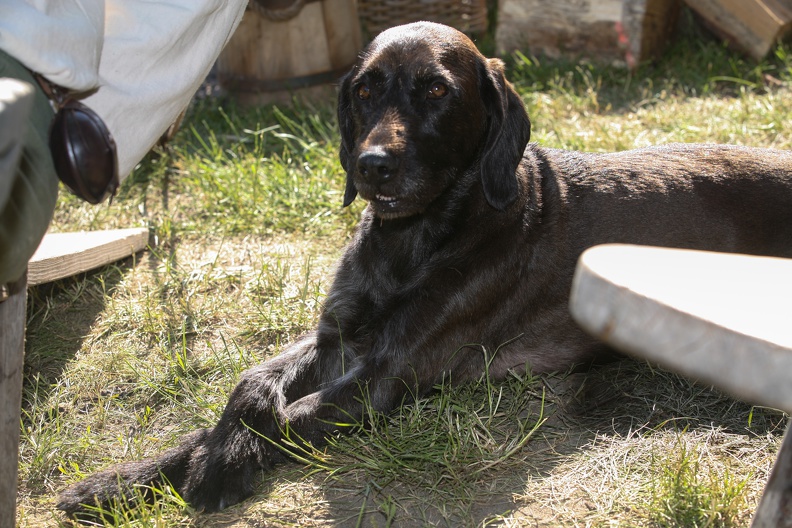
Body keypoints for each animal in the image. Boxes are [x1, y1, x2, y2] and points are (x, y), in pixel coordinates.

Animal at [58, 21, 792, 516]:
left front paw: (213, 470)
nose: (372, 166)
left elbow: (288, 420)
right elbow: (247, 390)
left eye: (437, 90)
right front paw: (125, 479)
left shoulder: (384, 377)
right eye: (365, 89)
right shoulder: (335, 336)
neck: (410, 245)